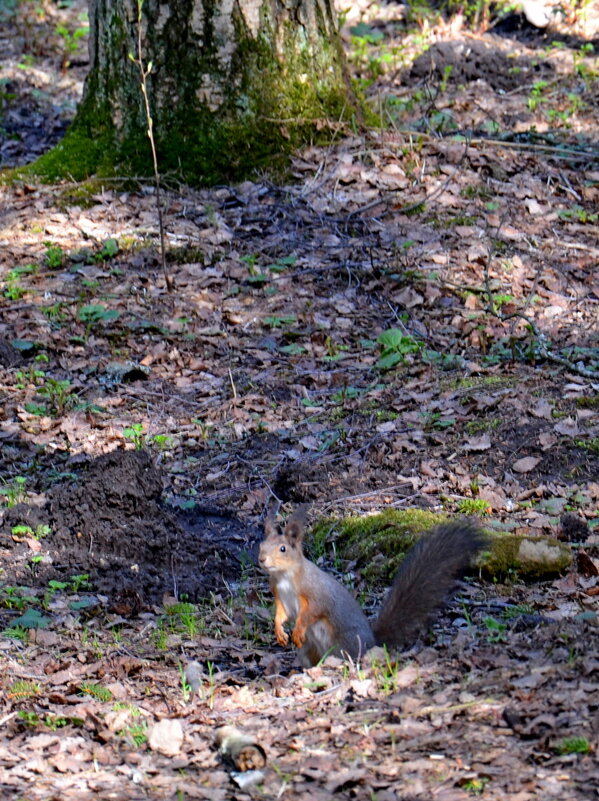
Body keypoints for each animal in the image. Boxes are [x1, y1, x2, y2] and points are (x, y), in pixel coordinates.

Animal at [258, 506, 488, 668]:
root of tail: (372, 643)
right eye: (261, 545)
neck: (284, 576)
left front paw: (298, 630)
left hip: (345, 645)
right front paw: (279, 631)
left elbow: (311, 612)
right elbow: (282, 614)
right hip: (308, 652)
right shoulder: (281, 596)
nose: (262, 559)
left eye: (283, 549)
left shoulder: (315, 593)